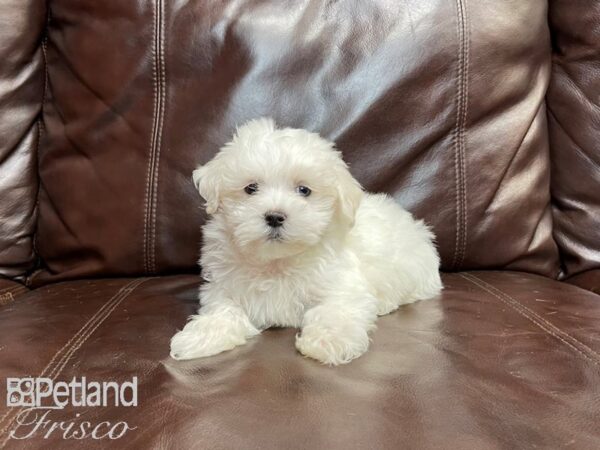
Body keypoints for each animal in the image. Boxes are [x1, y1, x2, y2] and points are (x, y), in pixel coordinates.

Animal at [169, 118, 440, 364]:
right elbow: (223, 311)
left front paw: (328, 341)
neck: (277, 261)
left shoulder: (342, 284)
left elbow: (335, 311)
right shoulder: (223, 288)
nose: (275, 216)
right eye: (251, 188)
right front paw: (198, 338)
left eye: (304, 190)